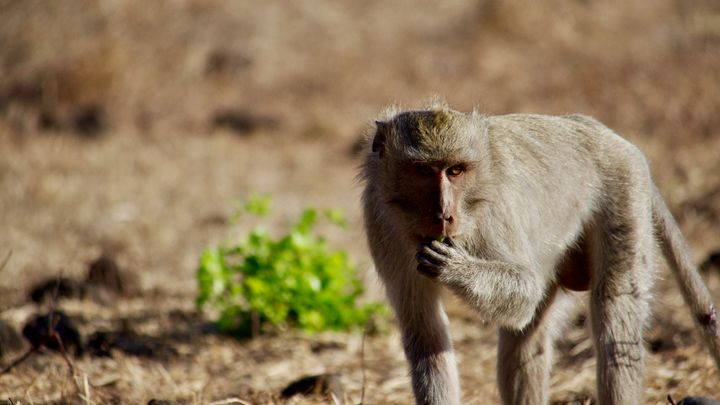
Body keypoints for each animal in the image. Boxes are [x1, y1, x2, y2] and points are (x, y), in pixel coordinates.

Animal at [360, 99, 720, 402]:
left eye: (456, 171)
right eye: (424, 171)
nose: (445, 214)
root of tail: (603, 133)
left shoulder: (493, 212)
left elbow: (526, 289)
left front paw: (455, 269)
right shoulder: (381, 223)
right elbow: (426, 330)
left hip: (624, 195)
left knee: (614, 318)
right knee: (524, 343)